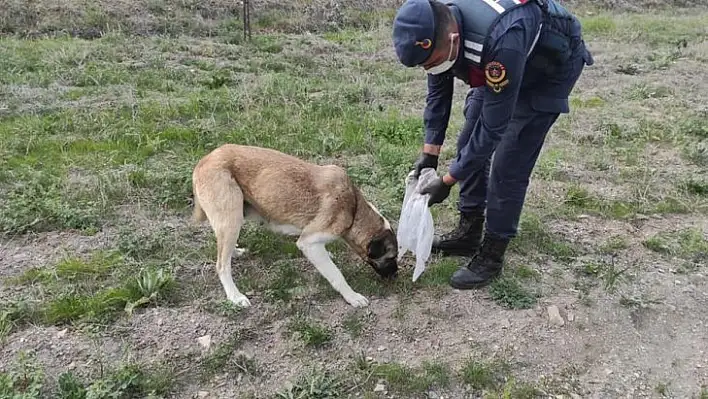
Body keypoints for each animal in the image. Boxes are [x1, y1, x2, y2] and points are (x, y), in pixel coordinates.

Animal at [191, 145, 398, 310]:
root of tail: (204, 160)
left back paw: (234, 252)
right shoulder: (309, 242)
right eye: (391, 257)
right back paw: (235, 296)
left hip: (235, 217)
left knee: (223, 249)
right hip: (232, 217)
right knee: (221, 265)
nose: (396, 276)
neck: (354, 208)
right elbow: (336, 275)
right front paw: (352, 296)